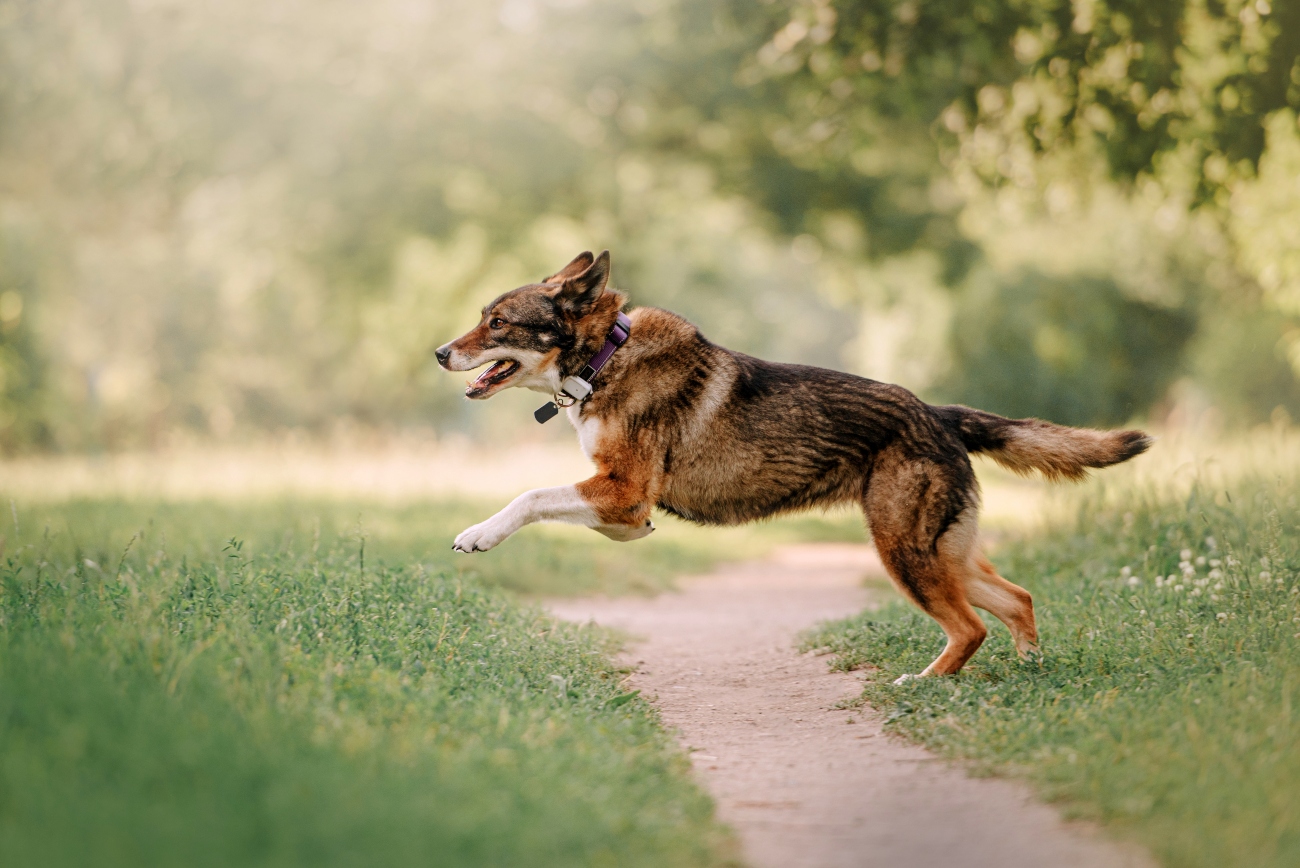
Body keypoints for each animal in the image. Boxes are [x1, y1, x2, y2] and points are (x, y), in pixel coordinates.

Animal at [434, 249, 1149, 675]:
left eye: (498, 322)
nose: (440, 353)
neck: (603, 359)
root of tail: (938, 414)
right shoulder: (622, 505)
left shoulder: (624, 490)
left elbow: (530, 496)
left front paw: (478, 535)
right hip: (942, 553)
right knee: (1017, 600)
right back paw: (1028, 671)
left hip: (903, 551)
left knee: (971, 628)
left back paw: (926, 683)